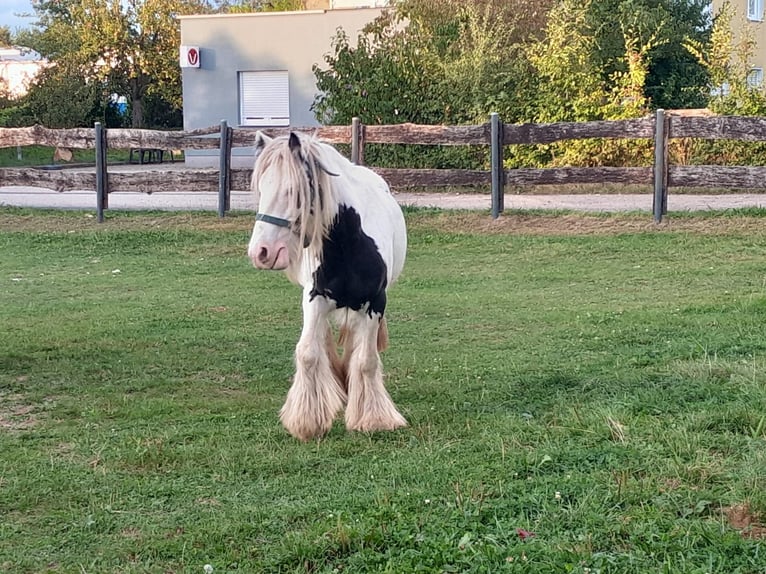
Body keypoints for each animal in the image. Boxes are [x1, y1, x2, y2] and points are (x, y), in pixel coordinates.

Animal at [250, 132, 408, 440]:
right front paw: (307, 421)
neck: (349, 242)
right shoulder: (315, 298)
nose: (261, 252)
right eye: (261, 189)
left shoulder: (375, 303)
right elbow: (308, 353)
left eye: (292, 191)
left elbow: (366, 361)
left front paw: (374, 419)